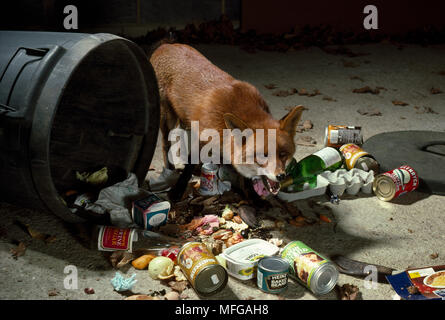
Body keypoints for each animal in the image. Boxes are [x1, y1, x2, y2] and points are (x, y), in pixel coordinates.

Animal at [148, 43, 302, 198]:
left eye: (283, 154)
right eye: (262, 156)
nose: (281, 176)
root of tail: (166, 45)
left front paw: (253, 197)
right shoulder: (201, 139)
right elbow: (189, 167)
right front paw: (177, 192)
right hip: (168, 119)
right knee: (165, 145)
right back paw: (170, 169)